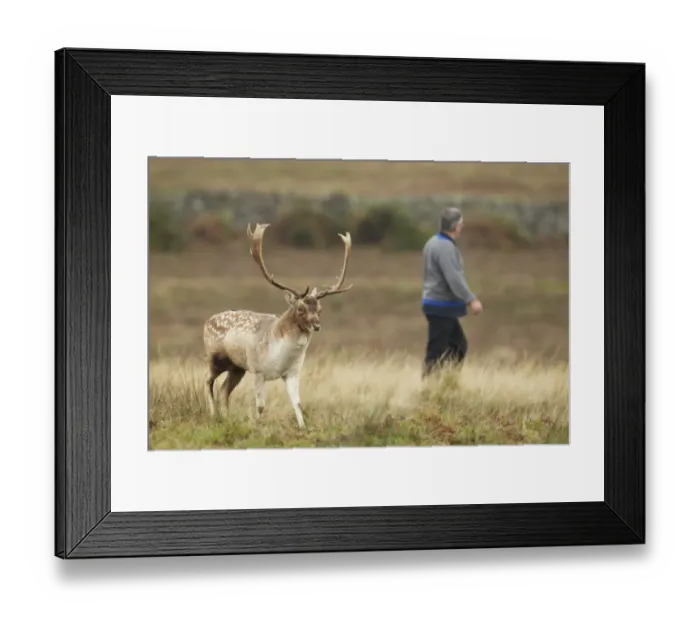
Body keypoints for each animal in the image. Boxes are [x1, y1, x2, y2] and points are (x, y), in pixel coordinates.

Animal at [202, 222, 353, 429]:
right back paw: (213, 415)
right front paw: (259, 426)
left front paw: (303, 428)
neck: (279, 355)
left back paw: (227, 419)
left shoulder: (292, 373)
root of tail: (207, 322)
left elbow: (297, 403)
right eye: (300, 308)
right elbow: (260, 406)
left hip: (237, 367)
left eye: (320, 309)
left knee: (224, 389)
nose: (316, 326)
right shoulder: (258, 370)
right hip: (214, 358)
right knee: (207, 382)